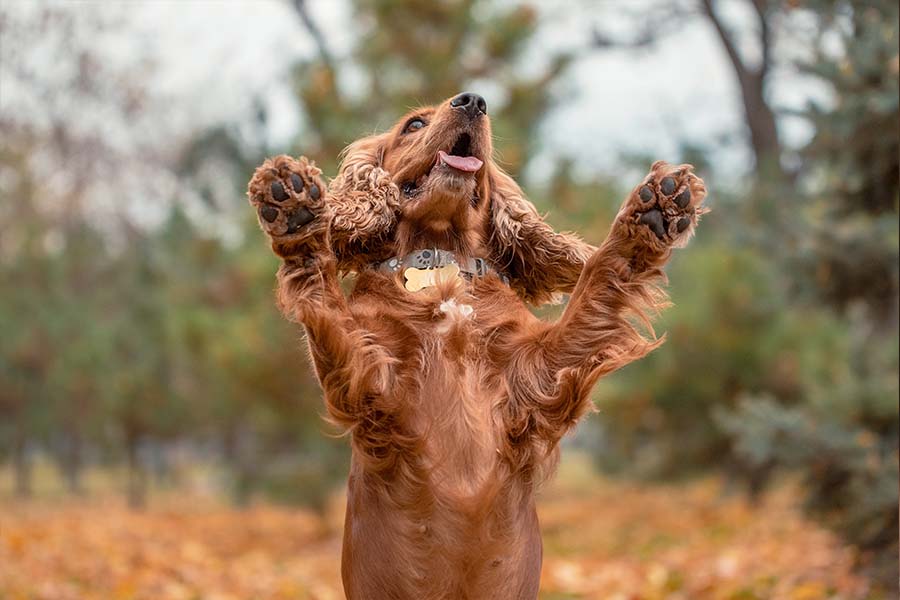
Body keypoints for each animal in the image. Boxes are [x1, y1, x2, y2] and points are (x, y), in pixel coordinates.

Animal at [248, 91, 712, 596]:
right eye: (414, 124)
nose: (473, 100)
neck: (441, 260)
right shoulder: (372, 384)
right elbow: (328, 302)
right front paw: (296, 214)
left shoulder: (540, 375)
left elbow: (598, 281)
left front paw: (655, 212)